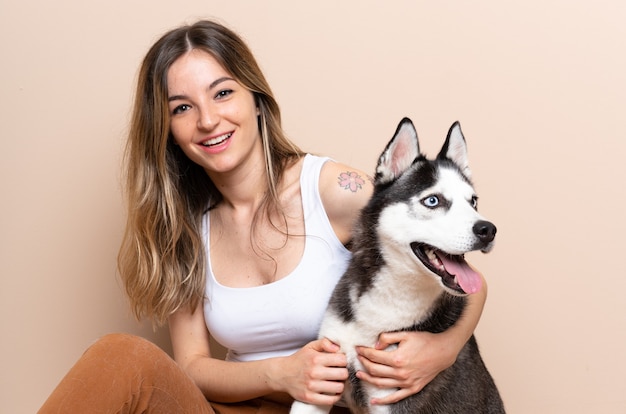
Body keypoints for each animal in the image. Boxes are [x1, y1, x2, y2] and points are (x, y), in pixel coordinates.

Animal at [292, 119, 502, 414]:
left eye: (473, 201)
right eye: (433, 200)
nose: (488, 230)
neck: (393, 296)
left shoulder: (394, 395)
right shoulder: (323, 375)